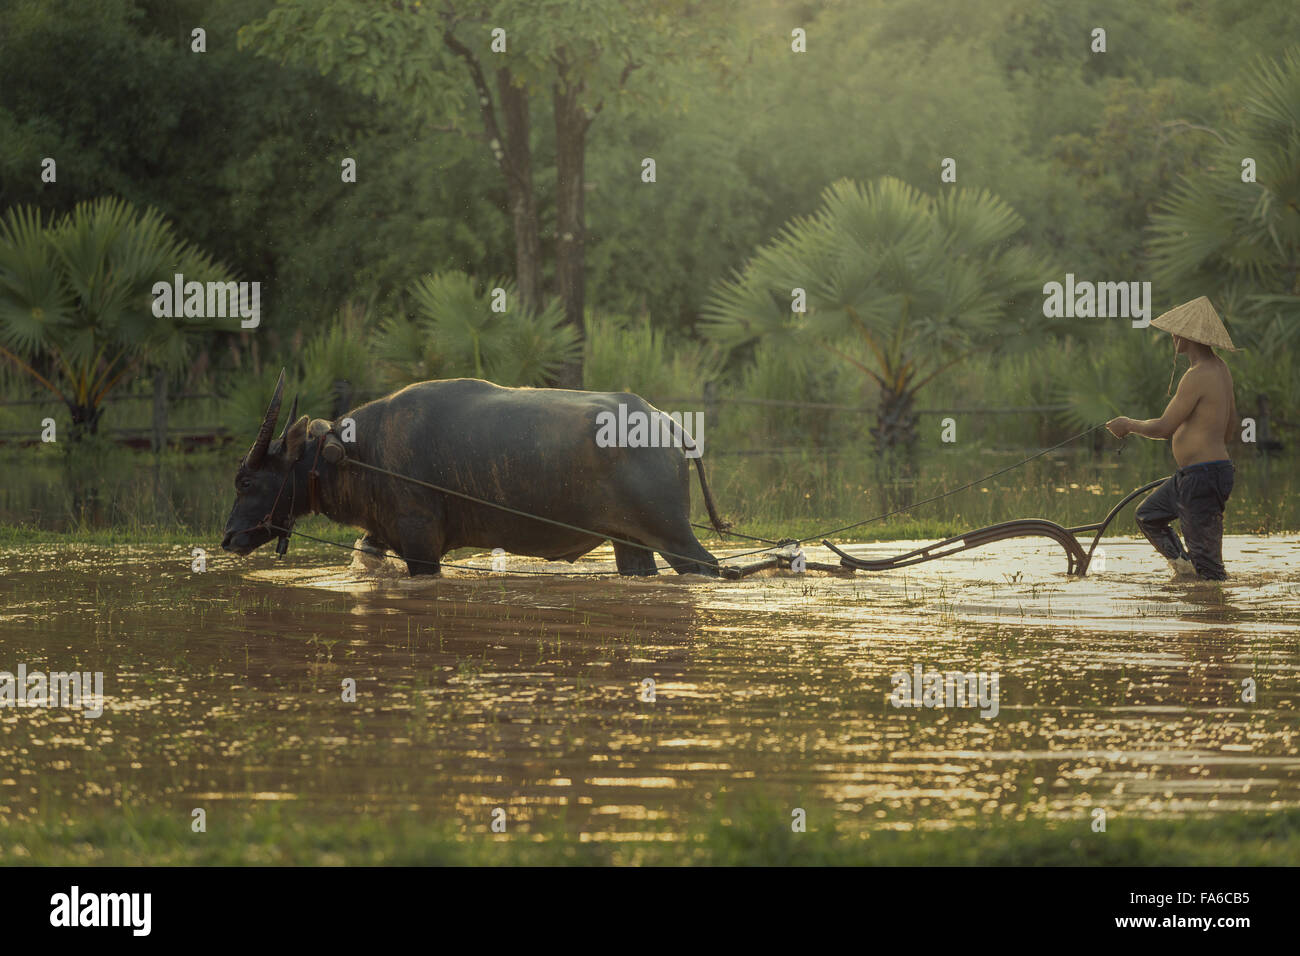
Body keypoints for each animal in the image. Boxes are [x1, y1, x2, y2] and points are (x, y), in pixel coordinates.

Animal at [224, 369, 733, 574]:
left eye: (247, 481)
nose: (229, 537)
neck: (360, 451)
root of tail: (665, 422)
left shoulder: (421, 545)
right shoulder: (381, 537)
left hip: (672, 534)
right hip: (630, 542)